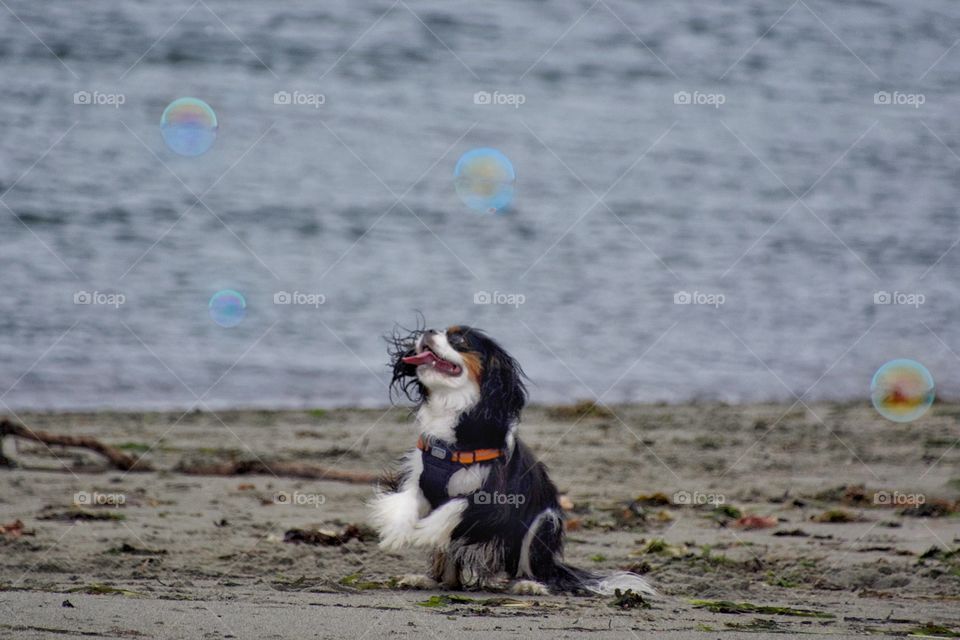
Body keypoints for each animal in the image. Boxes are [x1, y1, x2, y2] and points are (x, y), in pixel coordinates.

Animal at [368, 322, 652, 596]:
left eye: (459, 339)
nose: (427, 331)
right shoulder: (419, 477)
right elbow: (407, 498)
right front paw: (397, 532)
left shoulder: (496, 503)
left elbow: (459, 506)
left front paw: (424, 531)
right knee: (450, 574)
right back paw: (428, 580)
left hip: (544, 522)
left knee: (531, 568)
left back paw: (528, 585)